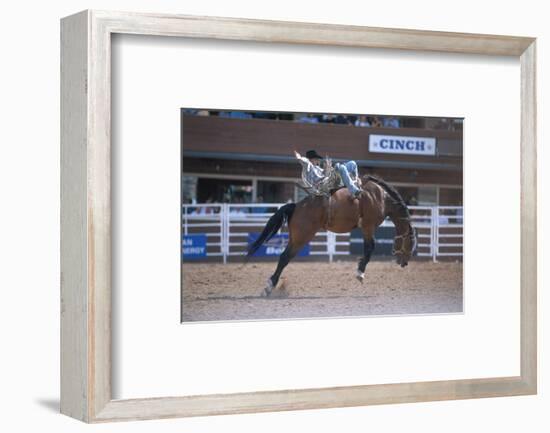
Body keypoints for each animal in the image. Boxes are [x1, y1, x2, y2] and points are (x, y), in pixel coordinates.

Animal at [248, 175, 416, 294]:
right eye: (411, 243)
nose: (405, 263)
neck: (380, 197)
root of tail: (296, 206)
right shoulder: (369, 226)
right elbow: (370, 248)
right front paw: (360, 273)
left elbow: (368, 249)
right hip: (301, 238)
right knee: (284, 258)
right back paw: (269, 286)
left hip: (295, 238)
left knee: (284, 257)